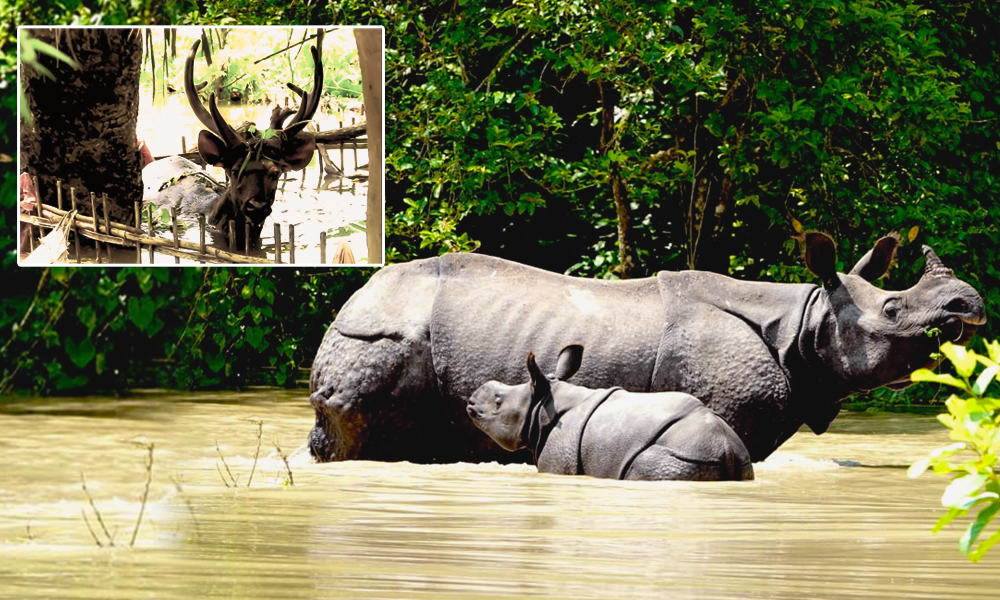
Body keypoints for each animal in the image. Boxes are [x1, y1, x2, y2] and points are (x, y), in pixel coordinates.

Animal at [310, 232, 984, 462]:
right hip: (377, 339)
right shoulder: (731, 407)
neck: (804, 321)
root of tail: (355, 298)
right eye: (893, 310)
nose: (969, 305)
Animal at [466, 344, 752, 480]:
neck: (543, 404)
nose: (470, 400)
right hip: (734, 457)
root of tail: (725, 449)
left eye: (498, 402)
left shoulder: (558, 459)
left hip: (682, 455)